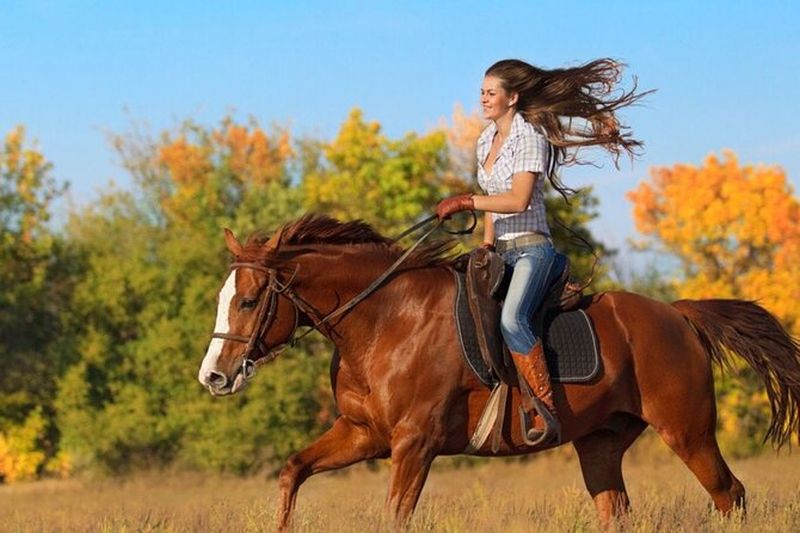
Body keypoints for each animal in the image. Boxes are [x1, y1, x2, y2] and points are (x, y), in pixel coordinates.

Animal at [197, 213, 800, 529]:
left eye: (248, 301)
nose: (214, 378)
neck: (385, 320)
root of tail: (677, 314)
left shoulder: (413, 444)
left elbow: (395, 515)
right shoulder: (363, 434)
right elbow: (292, 471)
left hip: (688, 432)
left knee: (730, 495)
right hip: (601, 443)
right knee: (617, 509)